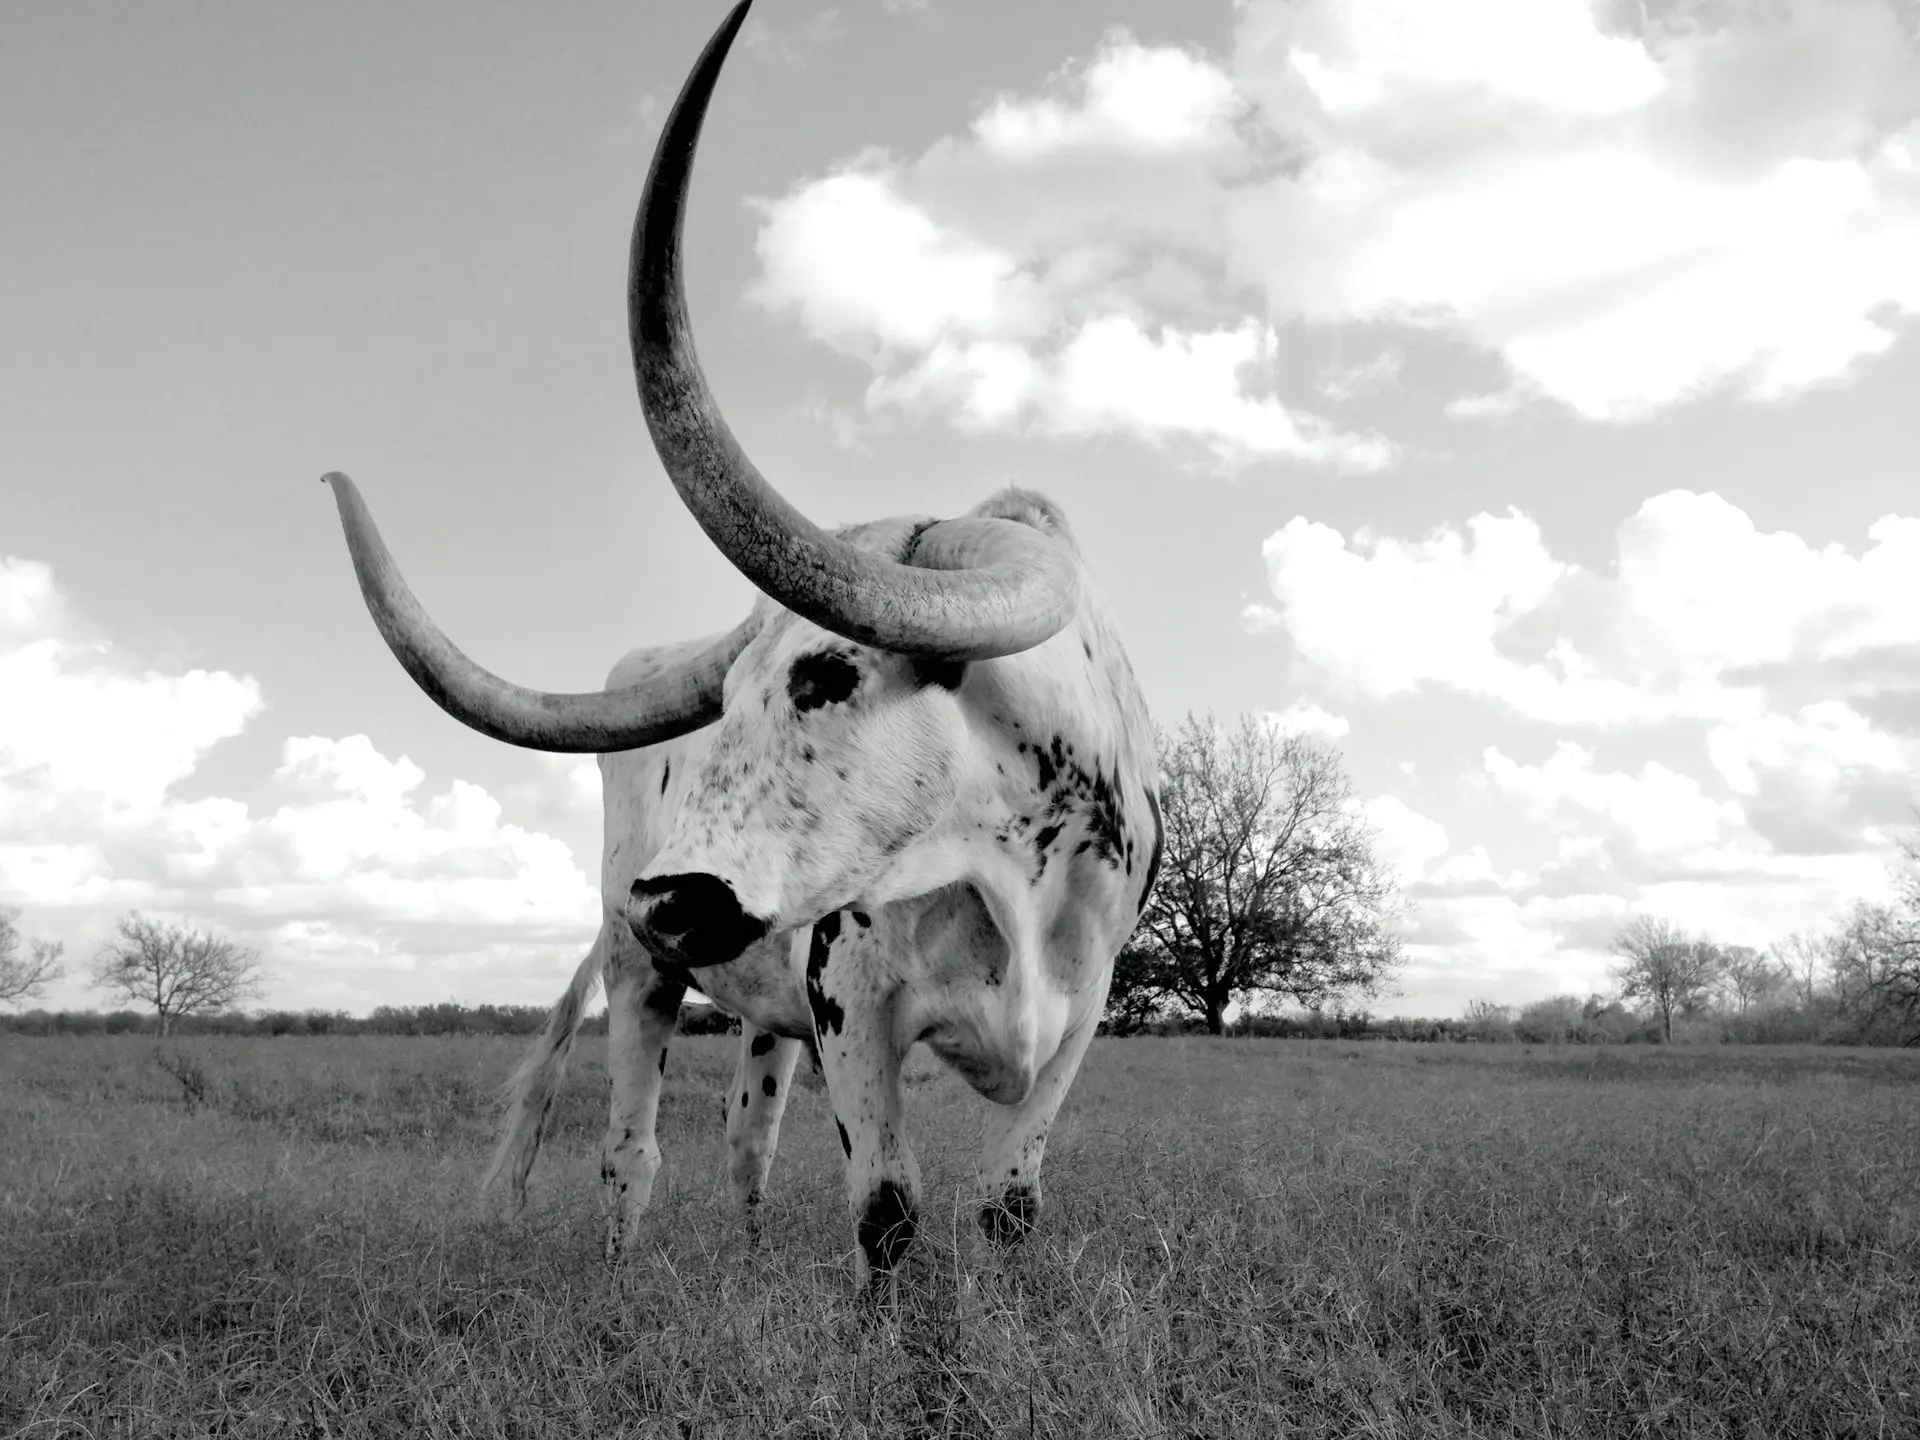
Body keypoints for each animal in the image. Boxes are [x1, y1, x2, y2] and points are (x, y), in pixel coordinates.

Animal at [319, 0, 1161, 1291]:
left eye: (827, 674)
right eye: (727, 704)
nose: (668, 898)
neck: (1010, 864)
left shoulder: (1080, 1019)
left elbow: (1007, 1205)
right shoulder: (852, 1003)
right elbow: (887, 1213)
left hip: (756, 1011)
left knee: (745, 1141)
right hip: (641, 980)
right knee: (632, 1151)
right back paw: (620, 1283)